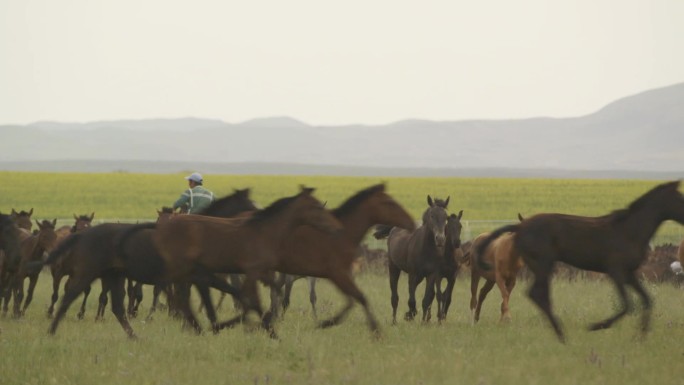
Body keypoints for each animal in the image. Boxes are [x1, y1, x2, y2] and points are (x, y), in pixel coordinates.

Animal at [478, 181, 684, 342]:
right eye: (681, 198)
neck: (630, 230)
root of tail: (520, 228)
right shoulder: (616, 271)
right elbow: (627, 304)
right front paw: (596, 326)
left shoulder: (629, 273)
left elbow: (647, 299)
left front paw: (640, 337)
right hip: (543, 263)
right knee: (537, 293)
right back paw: (562, 335)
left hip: (542, 266)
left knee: (540, 295)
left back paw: (560, 333)